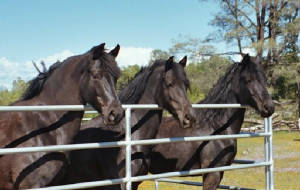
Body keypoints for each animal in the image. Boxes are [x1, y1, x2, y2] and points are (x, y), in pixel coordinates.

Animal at [149, 54, 276, 190]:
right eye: (248, 80)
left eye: (264, 79)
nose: (269, 107)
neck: (216, 127)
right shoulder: (212, 173)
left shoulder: (219, 172)